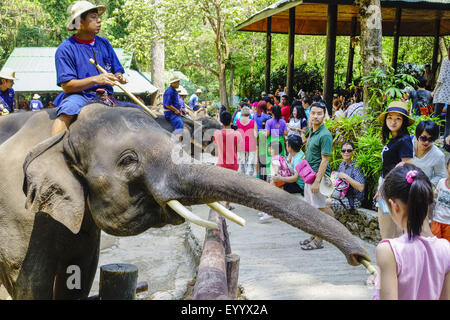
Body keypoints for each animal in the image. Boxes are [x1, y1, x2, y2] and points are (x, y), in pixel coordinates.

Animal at [0, 103, 370, 300]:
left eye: (176, 141)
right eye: (127, 160)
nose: (362, 258)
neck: (62, 134)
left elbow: (79, 276)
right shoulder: (18, 216)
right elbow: (30, 282)